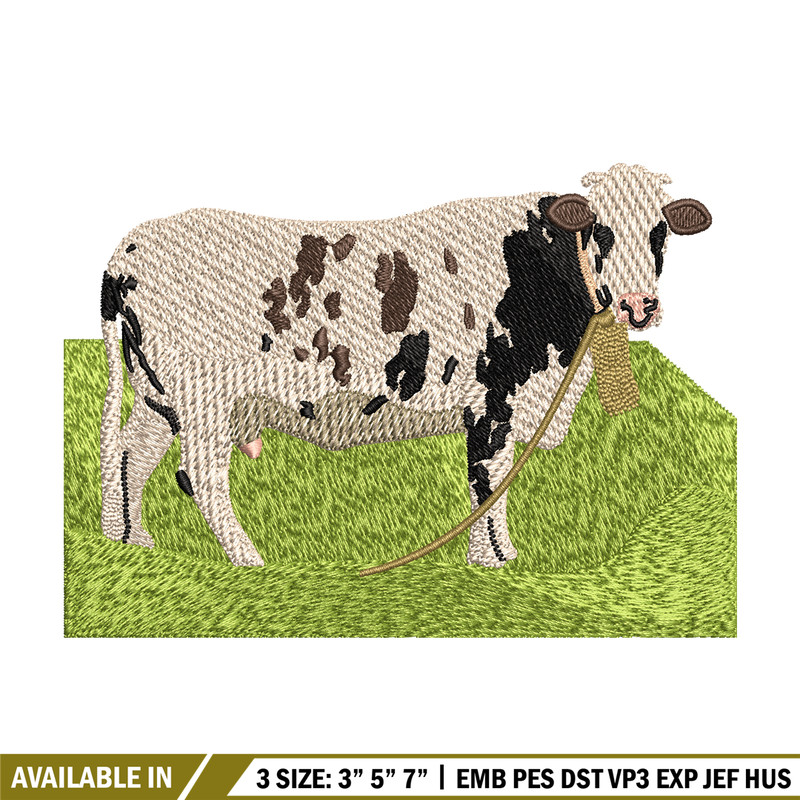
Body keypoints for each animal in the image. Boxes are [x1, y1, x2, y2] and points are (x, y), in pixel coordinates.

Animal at [99, 164, 711, 568]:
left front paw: (495, 558)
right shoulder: (493, 397)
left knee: (128, 455)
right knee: (201, 477)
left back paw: (129, 543)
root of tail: (128, 246)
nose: (638, 305)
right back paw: (250, 562)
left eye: (660, 233)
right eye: (599, 231)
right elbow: (489, 480)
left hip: (159, 397)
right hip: (204, 398)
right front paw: (495, 562)